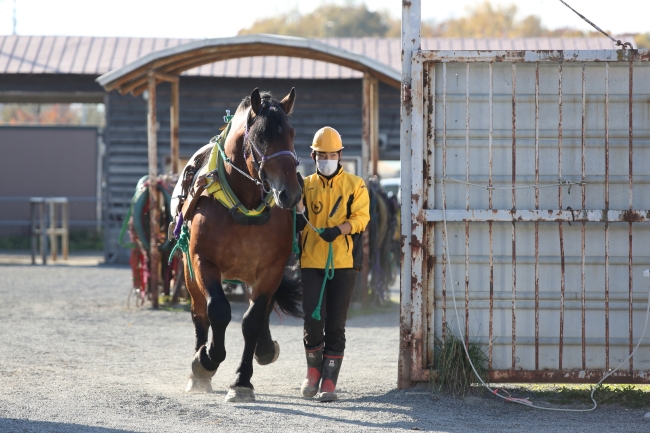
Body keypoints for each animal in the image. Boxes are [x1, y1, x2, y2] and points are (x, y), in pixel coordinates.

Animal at [172, 88, 304, 402]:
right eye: (261, 137)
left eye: (291, 133)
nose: (290, 193)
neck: (246, 205)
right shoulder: (202, 261)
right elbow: (218, 312)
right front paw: (206, 360)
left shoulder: (272, 268)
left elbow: (252, 320)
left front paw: (242, 381)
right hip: (189, 271)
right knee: (199, 314)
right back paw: (198, 372)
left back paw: (264, 347)